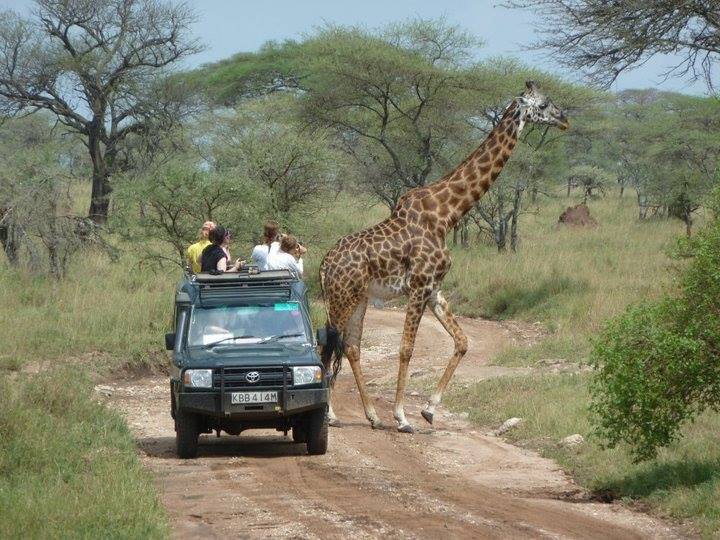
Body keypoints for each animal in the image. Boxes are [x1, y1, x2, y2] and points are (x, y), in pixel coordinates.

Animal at [320, 82, 568, 432]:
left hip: (359, 297)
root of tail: (324, 264)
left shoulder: (435, 289)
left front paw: (429, 410)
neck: (447, 214)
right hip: (341, 297)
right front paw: (402, 417)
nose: (564, 119)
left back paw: (367, 416)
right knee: (326, 345)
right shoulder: (419, 286)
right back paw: (331, 414)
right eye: (544, 104)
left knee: (350, 346)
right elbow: (406, 349)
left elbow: (462, 342)